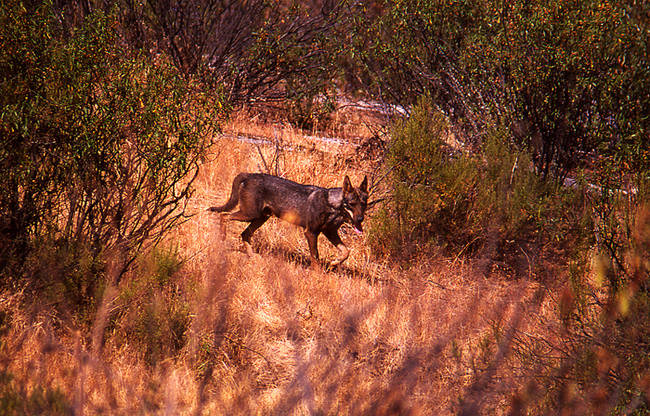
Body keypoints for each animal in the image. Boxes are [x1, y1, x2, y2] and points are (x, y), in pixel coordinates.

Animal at [210, 173, 368, 266]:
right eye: (352, 204)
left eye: (364, 203)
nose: (360, 219)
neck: (333, 205)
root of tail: (249, 175)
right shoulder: (311, 232)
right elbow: (315, 258)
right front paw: (317, 276)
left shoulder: (330, 233)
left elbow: (346, 252)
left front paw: (335, 262)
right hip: (250, 214)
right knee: (224, 216)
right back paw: (222, 238)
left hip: (261, 217)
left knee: (244, 233)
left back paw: (252, 256)